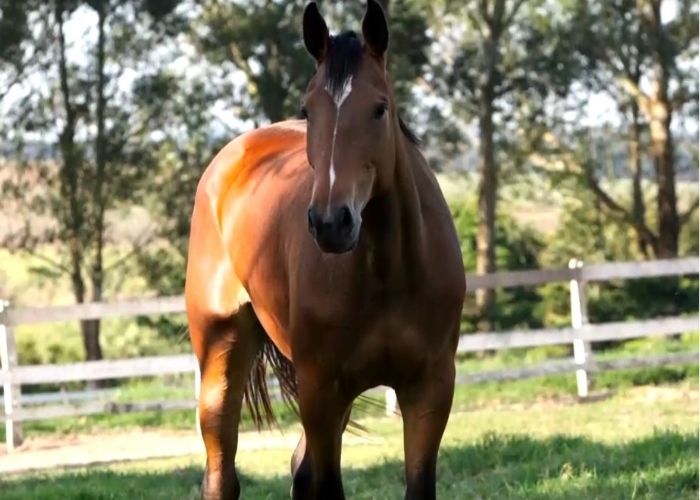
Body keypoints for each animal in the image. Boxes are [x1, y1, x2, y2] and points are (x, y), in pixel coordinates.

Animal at [185, 1, 465, 499]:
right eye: (309, 109)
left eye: (379, 108)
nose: (332, 222)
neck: (388, 272)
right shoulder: (321, 390)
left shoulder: (429, 390)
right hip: (221, 355)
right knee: (222, 473)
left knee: (299, 469)